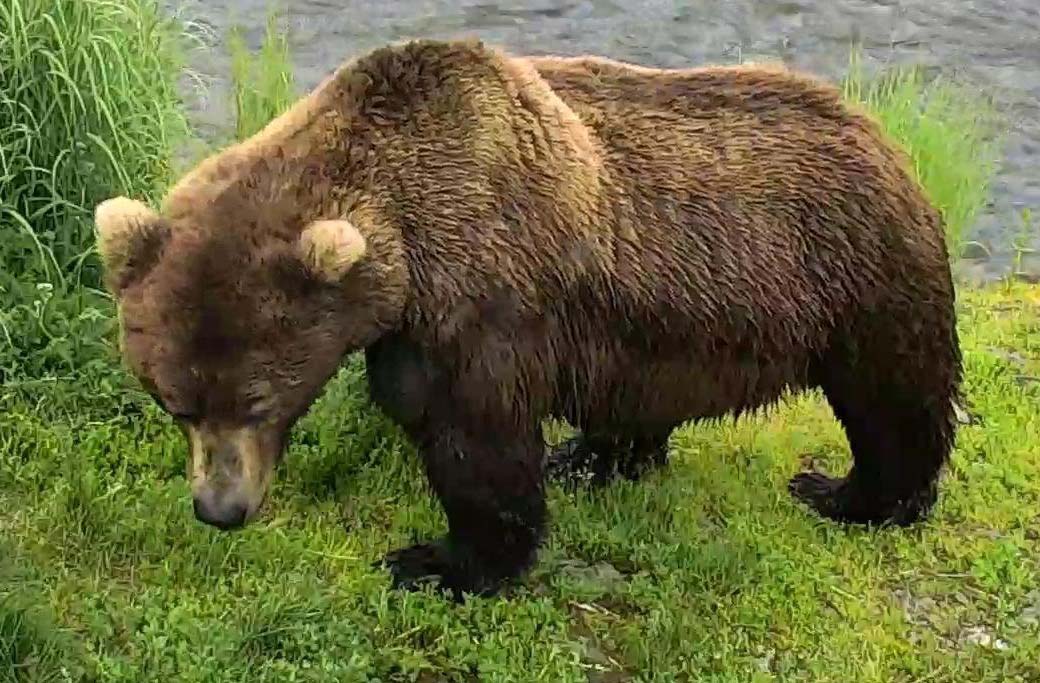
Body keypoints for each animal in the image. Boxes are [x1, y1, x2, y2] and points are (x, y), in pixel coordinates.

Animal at [93, 38, 962, 598]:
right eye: (174, 401)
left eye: (259, 400)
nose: (220, 509)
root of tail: (881, 132)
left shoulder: (480, 297)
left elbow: (473, 437)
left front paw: (436, 561)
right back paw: (596, 456)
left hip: (863, 273)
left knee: (894, 400)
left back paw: (851, 493)